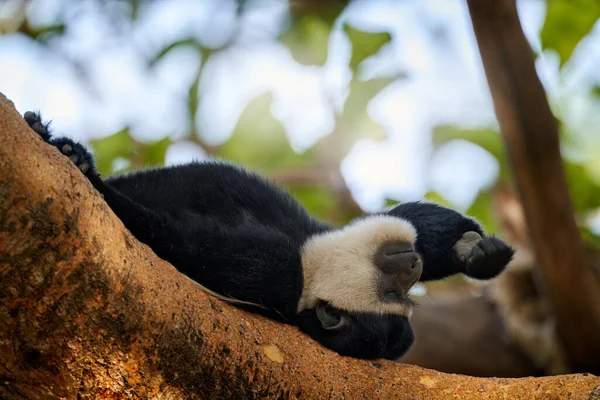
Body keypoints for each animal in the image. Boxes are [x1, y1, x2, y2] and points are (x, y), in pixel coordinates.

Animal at [22, 111, 510, 360]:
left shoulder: (271, 270)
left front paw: (96, 184)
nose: (412, 265)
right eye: (396, 288)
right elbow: (409, 219)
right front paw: (477, 252)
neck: (310, 263)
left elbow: (179, 240)